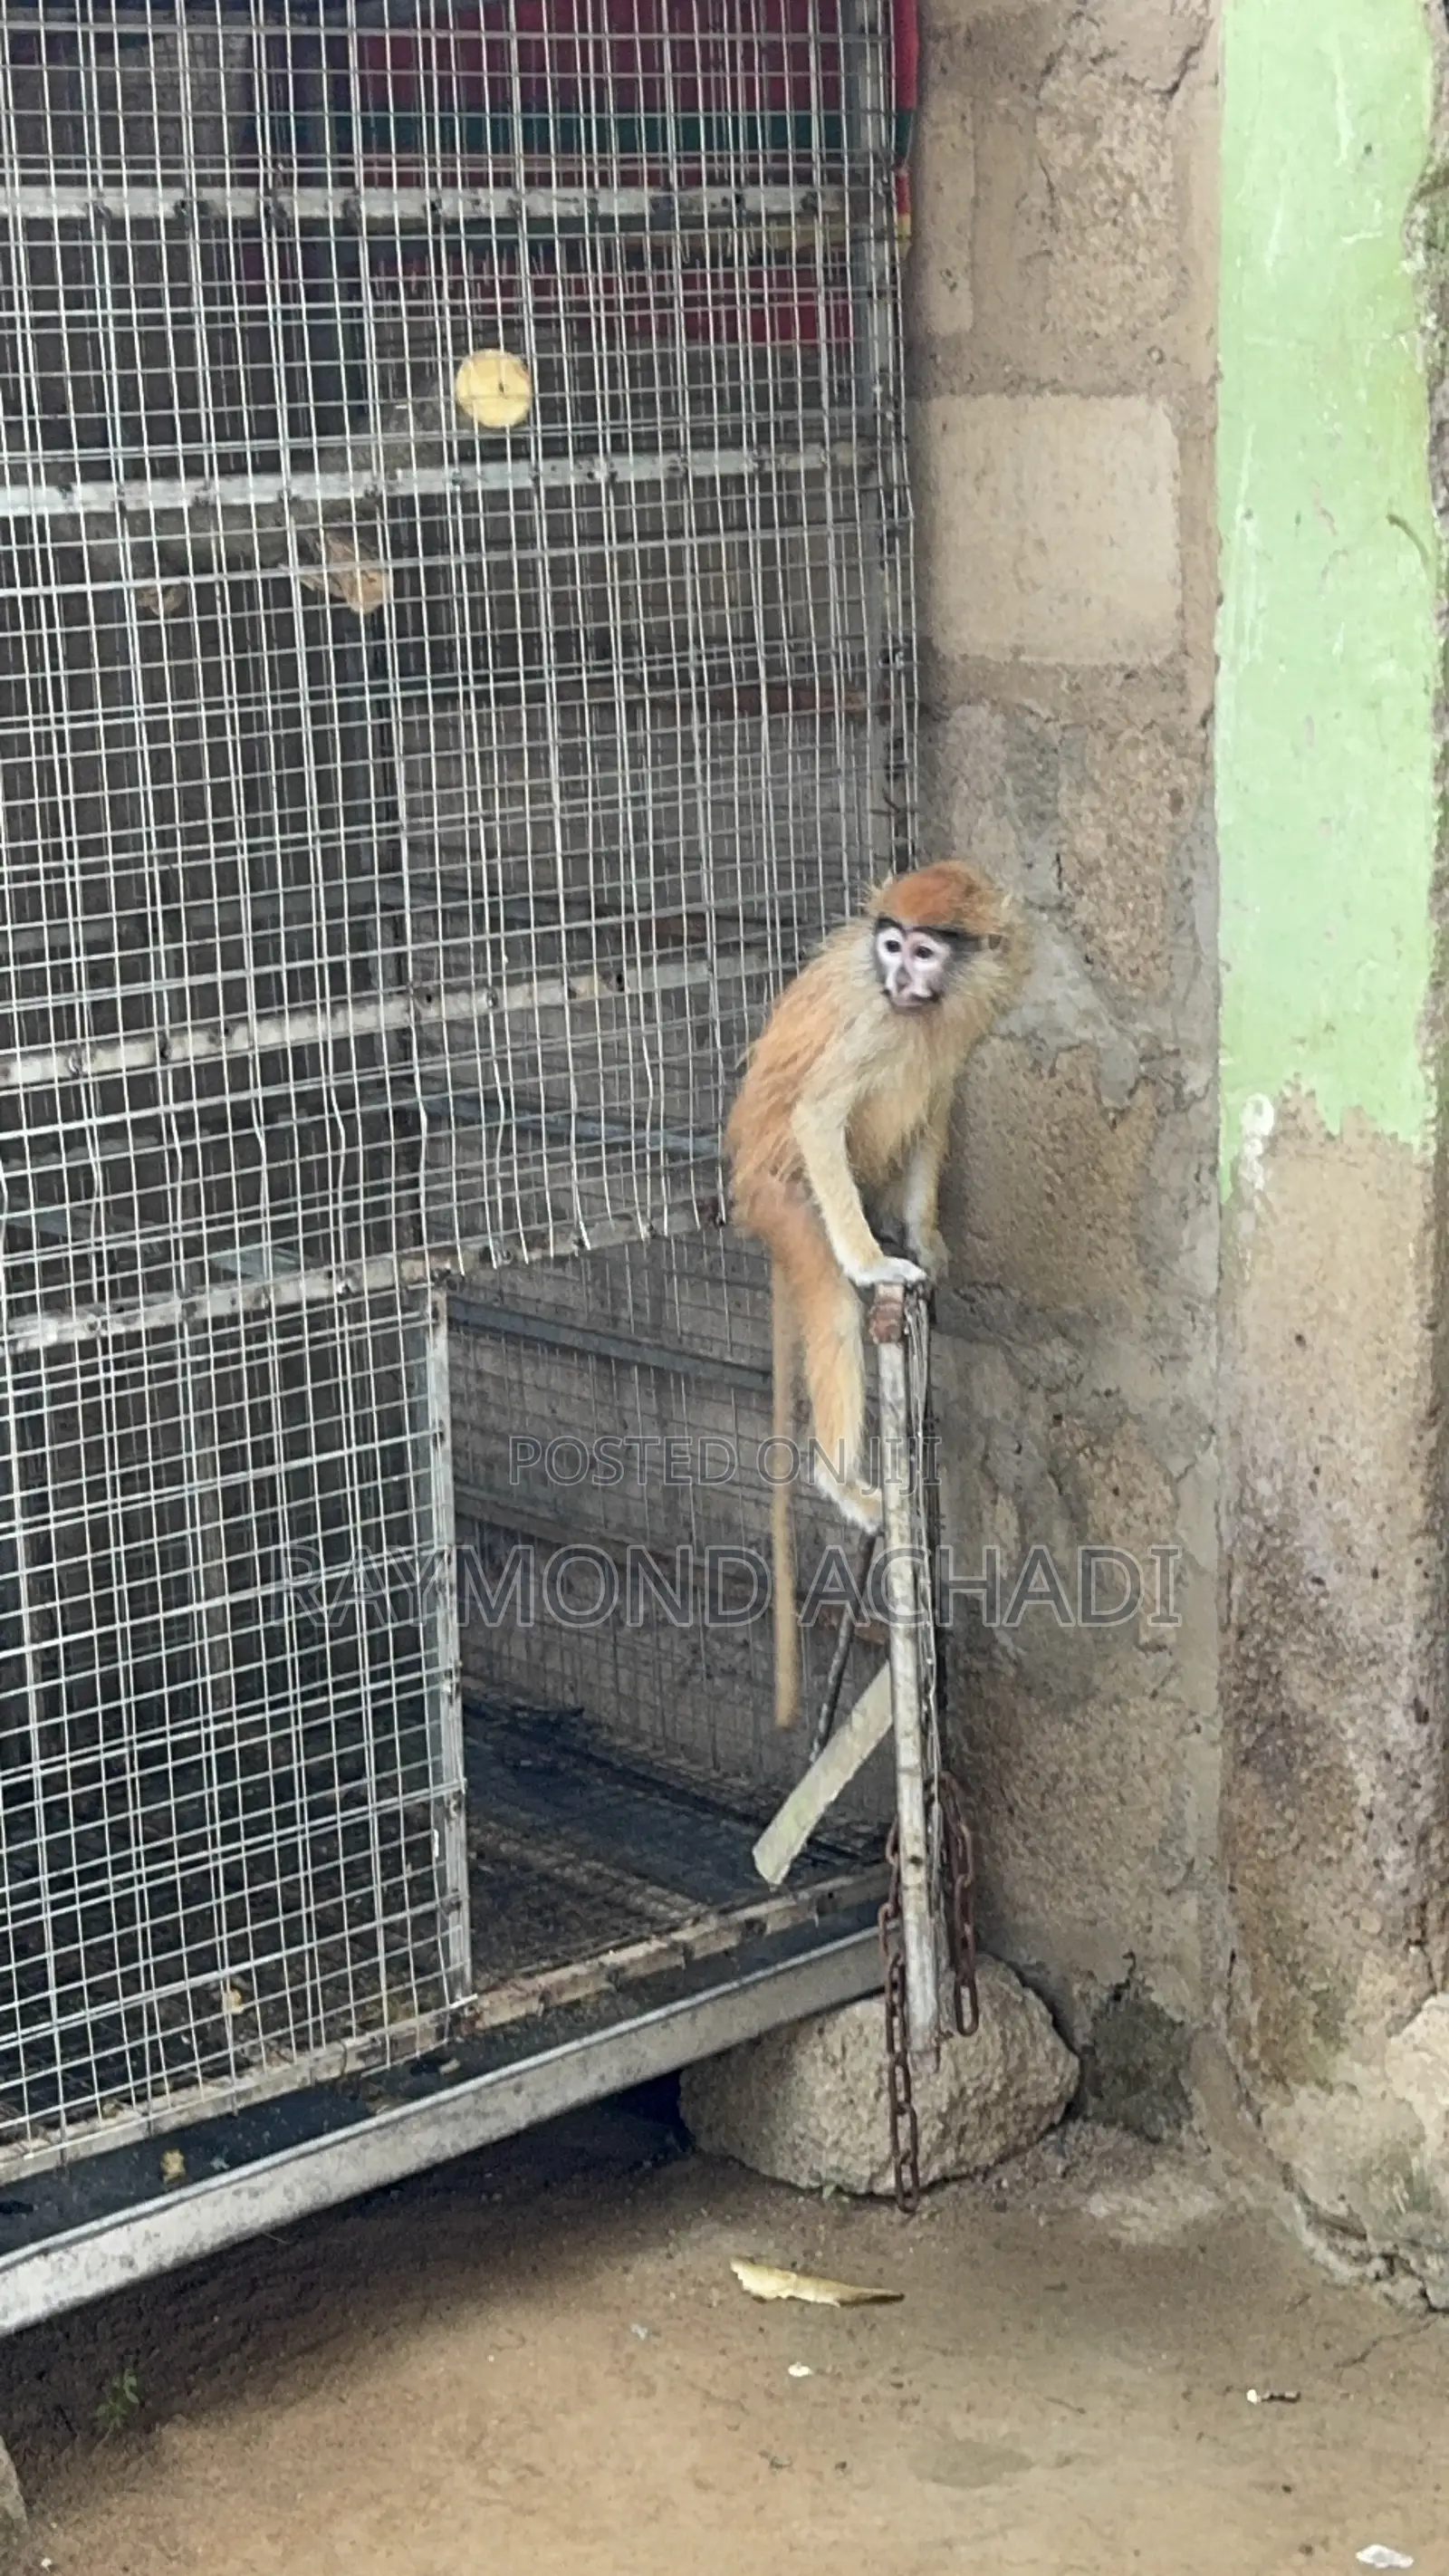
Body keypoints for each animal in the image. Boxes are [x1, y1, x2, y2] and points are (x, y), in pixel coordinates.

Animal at [724, 861, 1027, 1730]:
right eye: (892, 945)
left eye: (923, 950)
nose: (897, 975)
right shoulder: (875, 1022)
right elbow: (819, 1112)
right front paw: (871, 1265)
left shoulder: (961, 1014)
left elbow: (936, 1105)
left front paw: (924, 1242)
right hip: (788, 1200)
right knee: (828, 1305)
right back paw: (841, 1481)